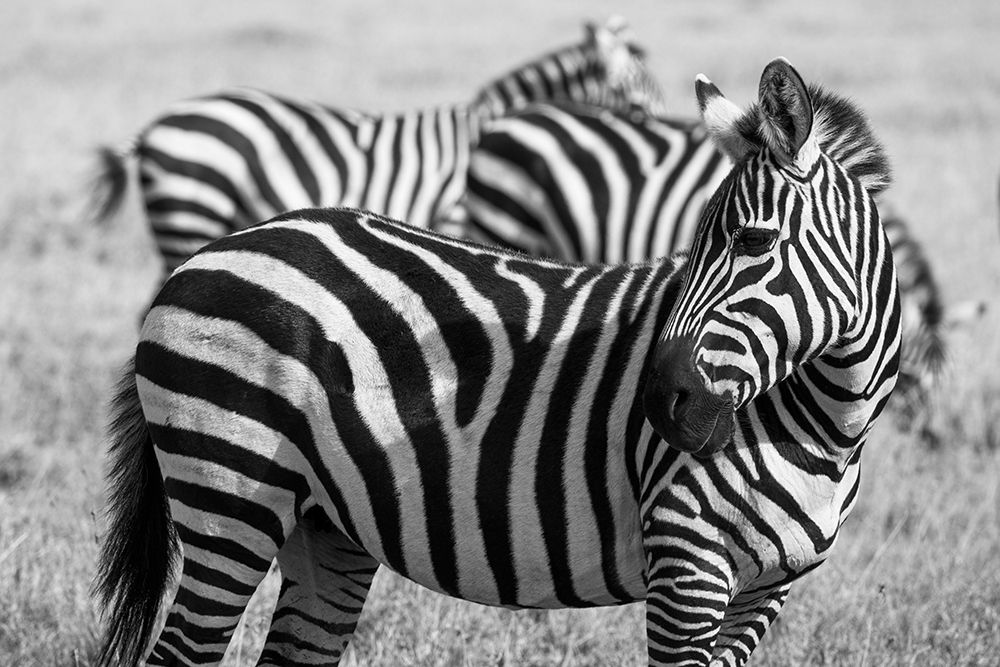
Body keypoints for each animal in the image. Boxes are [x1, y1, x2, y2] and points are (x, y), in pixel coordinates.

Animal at [93, 58, 899, 666]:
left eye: (753, 243)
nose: (658, 403)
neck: (826, 427)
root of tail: (210, 253)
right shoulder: (687, 562)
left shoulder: (767, 589)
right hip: (229, 495)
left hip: (323, 522)